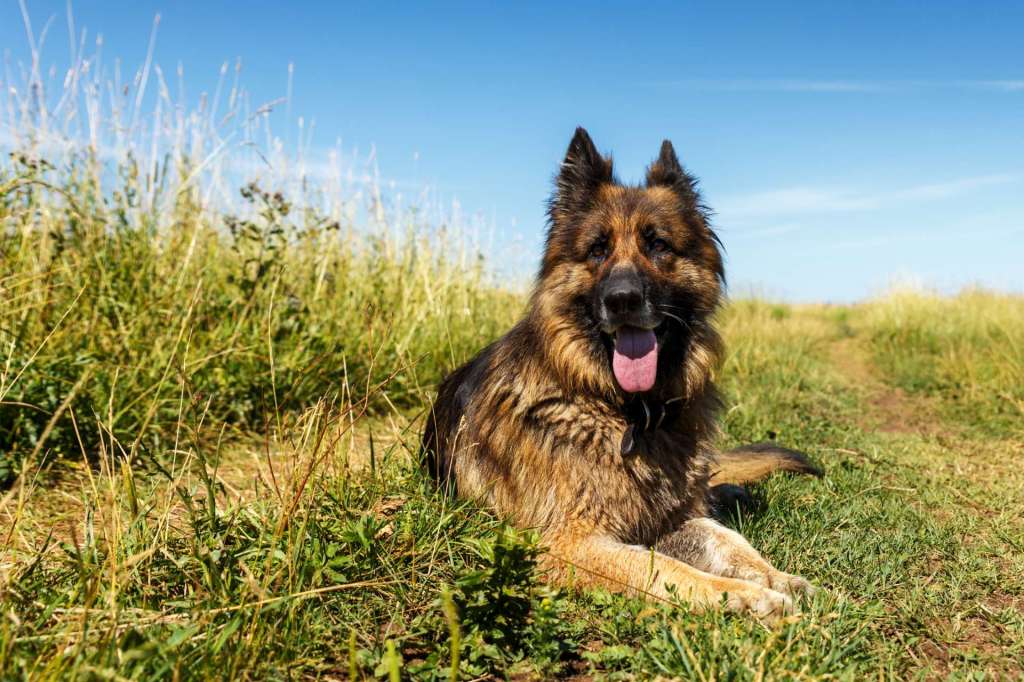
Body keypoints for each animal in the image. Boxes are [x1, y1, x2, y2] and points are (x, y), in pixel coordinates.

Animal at [421, 127, 815, 614]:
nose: (623, 300)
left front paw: (774, 577)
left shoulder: (670, 517)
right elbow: (666, 570)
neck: (627, 412)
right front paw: (743, 596)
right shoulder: (570, 545)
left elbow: (726, 539)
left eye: (658, 245)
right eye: (597, 249)